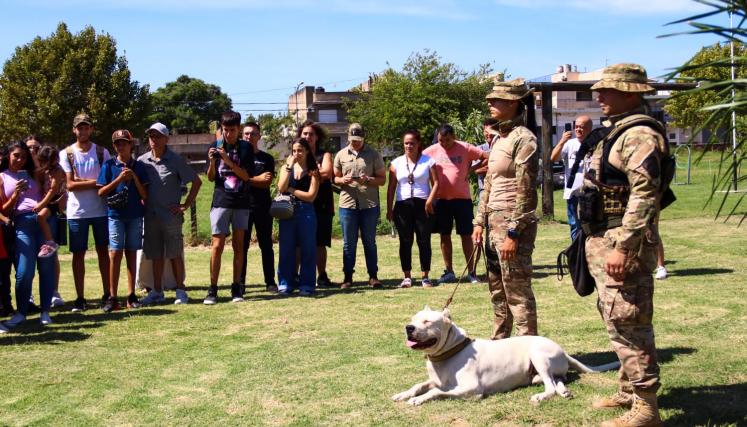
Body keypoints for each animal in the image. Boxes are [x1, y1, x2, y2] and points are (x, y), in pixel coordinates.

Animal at [392, 306, 620, 406]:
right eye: (413, 318)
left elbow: (436, 392)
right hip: (540, 372)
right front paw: (403, 394)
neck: (450, 350)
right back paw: (565, 392)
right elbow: (420, 385)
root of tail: (563, 351)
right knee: (557, 381)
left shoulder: (471, 389)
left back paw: (541, 396)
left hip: (538, 355)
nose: (408, 327)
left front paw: (418, 399)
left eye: (427, 322)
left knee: (550, 386)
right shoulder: (436, 380)